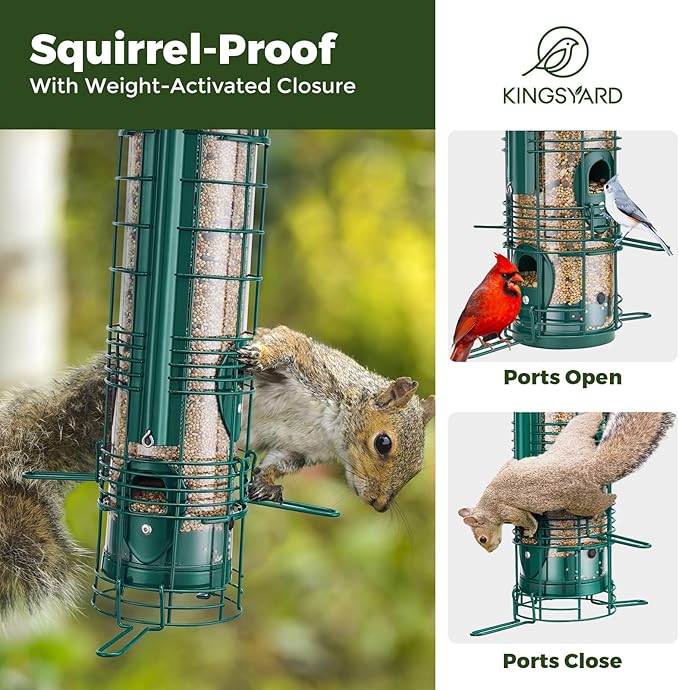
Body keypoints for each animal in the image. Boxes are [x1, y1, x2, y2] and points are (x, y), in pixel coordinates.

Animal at [0, 325, 434, 619]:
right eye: (383, 443)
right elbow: (286, 343)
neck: (332, 431)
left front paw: (265, 486)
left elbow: (278, 464)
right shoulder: (316, 369)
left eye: (416, 469)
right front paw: (257, 353)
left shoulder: (298, 449)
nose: (378, 504)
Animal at [458, 412, 675, 553]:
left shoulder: (506, 510)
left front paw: (530, 531)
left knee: (603, 501)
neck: (487, 505)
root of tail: (589, 467)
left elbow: (527, 519)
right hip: (574, 436)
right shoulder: (507, 467)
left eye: (482, 539)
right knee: (586, 420)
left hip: (579, 502)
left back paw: (606, 504)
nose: (491, 550)